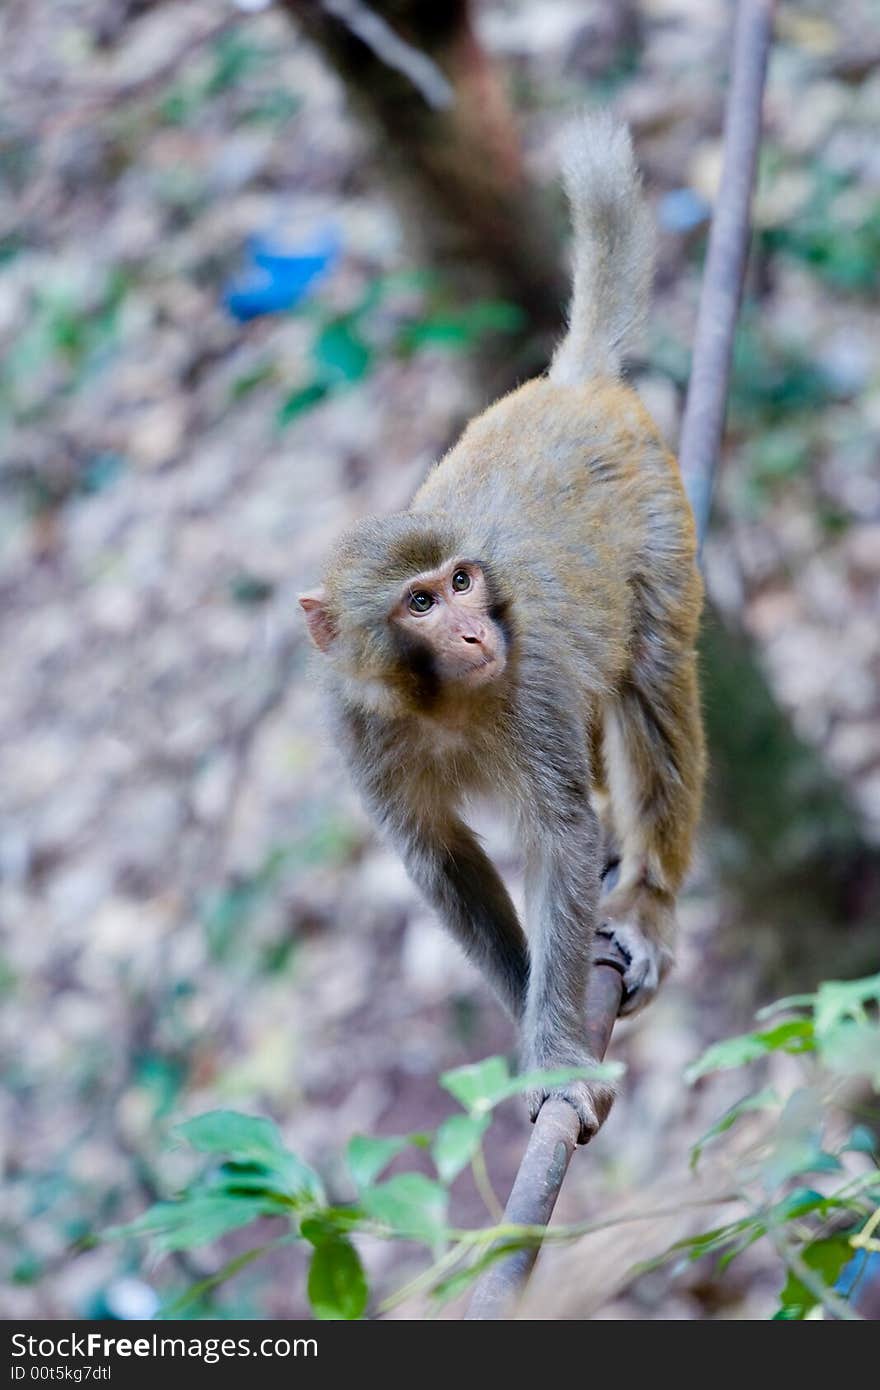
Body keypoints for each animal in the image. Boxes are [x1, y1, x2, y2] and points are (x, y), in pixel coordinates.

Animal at [298, 113, 703, 1139]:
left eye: (463, 580)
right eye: (420, 603)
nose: (478, 634)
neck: (438, 704)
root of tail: (571, 384)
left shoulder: (530, 696)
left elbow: (556, 843)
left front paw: (555, 1049)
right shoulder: (360, 733)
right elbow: (447, 869)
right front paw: (538, 1039)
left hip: (659, 524)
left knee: (652, 681)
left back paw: (647, 899)